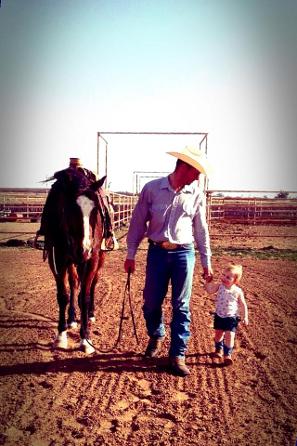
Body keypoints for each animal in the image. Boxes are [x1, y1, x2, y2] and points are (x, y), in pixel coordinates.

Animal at [38, 169, 108, 354]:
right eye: (70, 209)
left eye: (95, 210)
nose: (84, 249)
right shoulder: (58, 258)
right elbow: (63, 295)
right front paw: (61, 335)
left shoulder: (92, 259)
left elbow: (84, 296)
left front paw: (86, 339)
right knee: (74, 282)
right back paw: (71, 319)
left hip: (99, 258)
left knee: (93, 284)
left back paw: (90, 314)